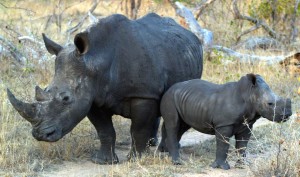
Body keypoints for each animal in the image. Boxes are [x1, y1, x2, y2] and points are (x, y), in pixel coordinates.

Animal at [158, 73, 292, 170]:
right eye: (270, 104)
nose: (287, 115)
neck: (249, 94)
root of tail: (169, 89)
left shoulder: (246, 125)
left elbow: (242, 145)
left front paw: (242, 166)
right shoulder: (224, 124)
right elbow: (223, 144)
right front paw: (222, 167)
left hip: (184, 100)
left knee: (181, 126)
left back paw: (167, 154)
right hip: (169, 98)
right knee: (174, 124)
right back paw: (177, 162)